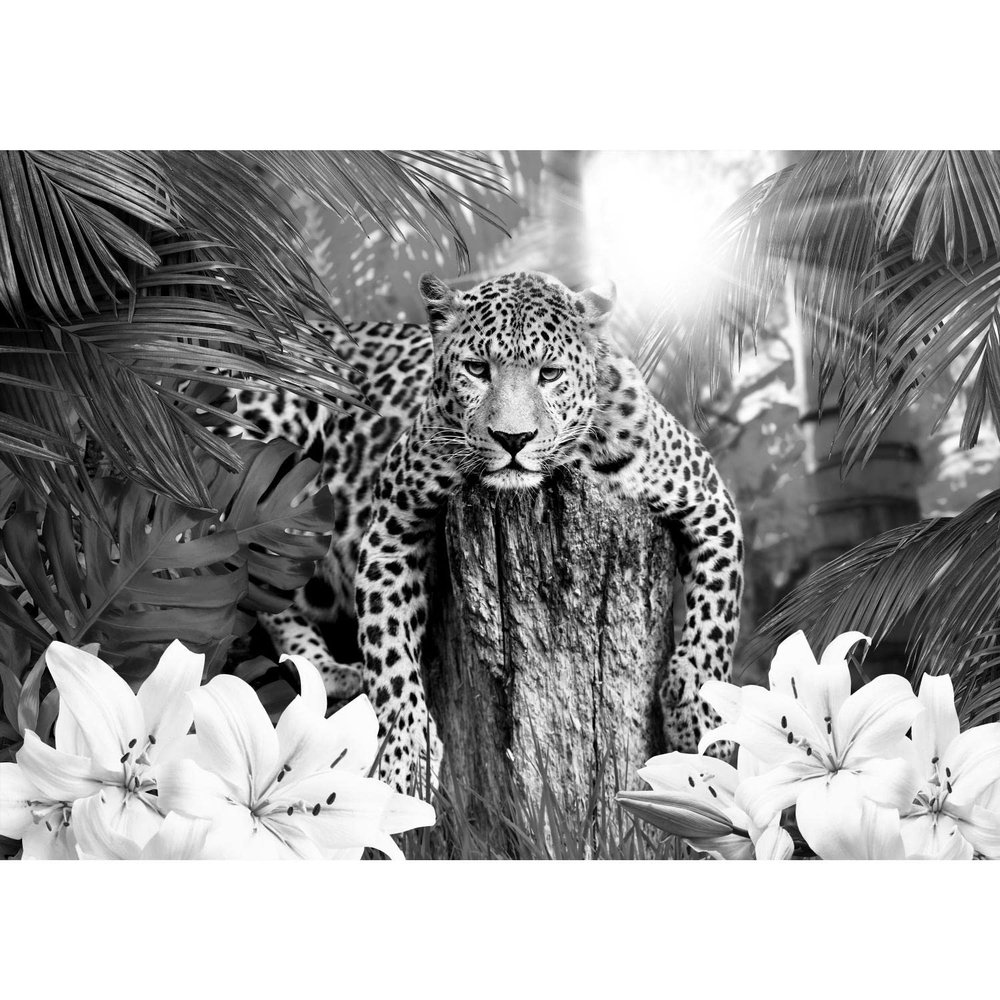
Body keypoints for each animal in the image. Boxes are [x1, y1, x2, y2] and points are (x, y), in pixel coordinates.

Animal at [228, 271, 744, 793]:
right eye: (477, 369)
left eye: (550, 374)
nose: (513, 439)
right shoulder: (391, 526)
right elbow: (388, 651)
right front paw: (406, 755)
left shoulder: (709, 498)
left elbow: (717, 618)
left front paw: (699, 715)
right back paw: (326, 672)